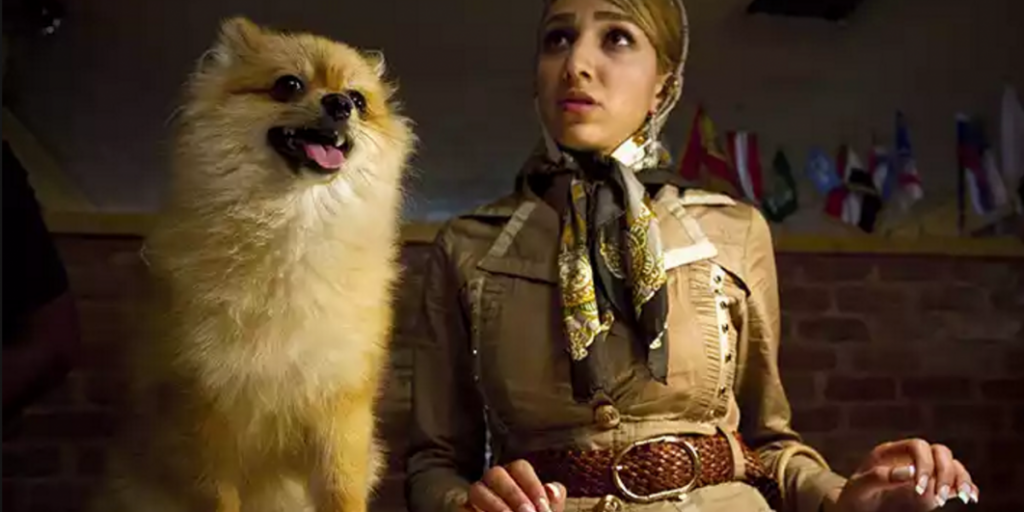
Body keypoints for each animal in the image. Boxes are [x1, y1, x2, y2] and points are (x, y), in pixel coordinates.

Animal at [92, 17, 415, 512]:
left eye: (359, 100)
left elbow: (342, 492)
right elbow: (219, 497)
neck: (291, 227)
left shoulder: (340, 415)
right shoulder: (208, 422)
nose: (340, 103)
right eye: (289, 85)